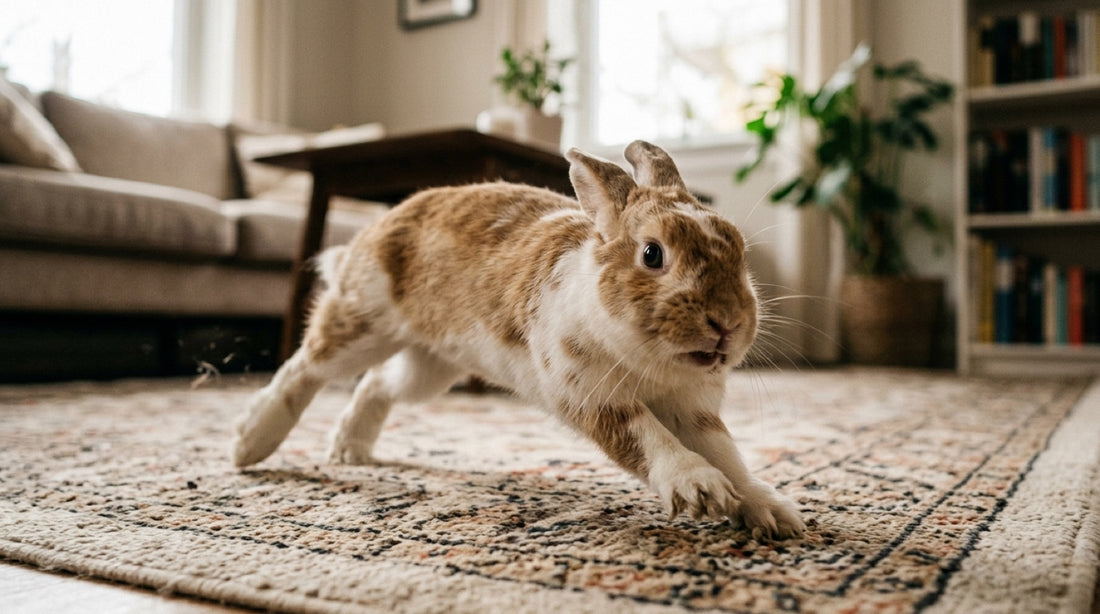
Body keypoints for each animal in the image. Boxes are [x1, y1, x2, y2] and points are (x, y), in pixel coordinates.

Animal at [232, 140, 804, 540]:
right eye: (652, 254)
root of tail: (378, 225)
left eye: (738, 249)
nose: (727, 323)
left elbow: (729, 455)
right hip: (364, 321)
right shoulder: (592, 394)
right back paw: (250, 443)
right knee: (306, 367)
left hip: (431, 366)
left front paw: (771, 512)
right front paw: (698, 488)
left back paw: (349, 448)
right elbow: (648, 437)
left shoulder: (694, 410)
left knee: (376, 386)